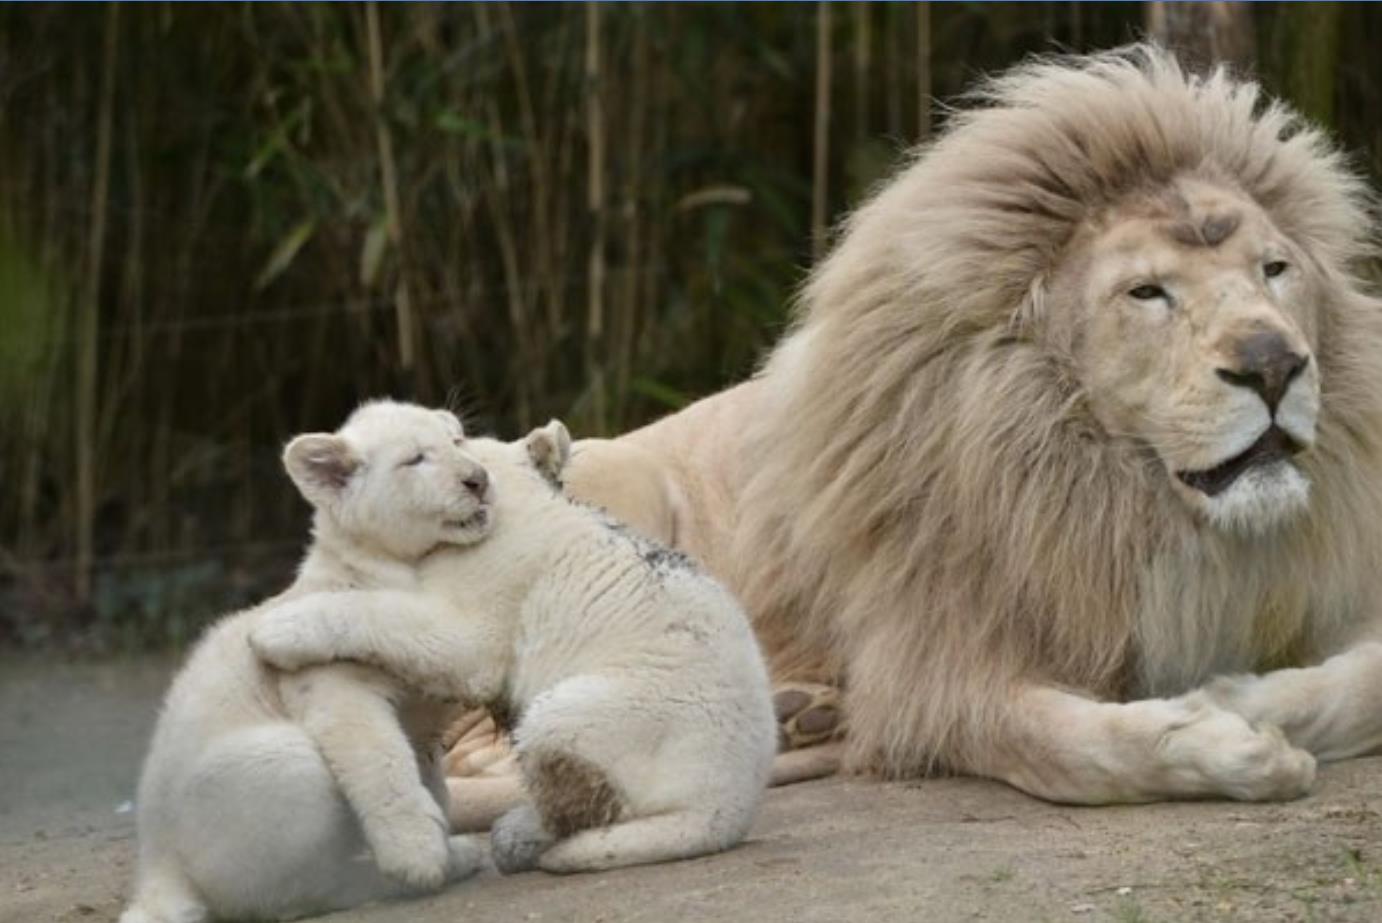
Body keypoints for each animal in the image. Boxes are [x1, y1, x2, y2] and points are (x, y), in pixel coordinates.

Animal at [561, 46, 1382, 801]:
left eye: (1274, 270)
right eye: (1147, 292)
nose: (1274, 365)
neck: (1117, 497)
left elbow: (1363, 681)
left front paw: (1243, 698)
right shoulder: (933, 669)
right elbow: (1069, 749)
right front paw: (1230, 745)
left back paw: (803, 714)